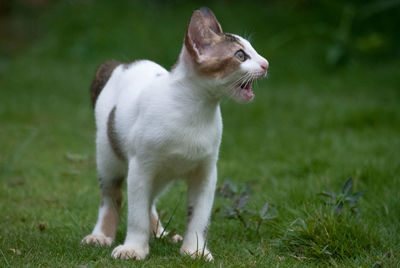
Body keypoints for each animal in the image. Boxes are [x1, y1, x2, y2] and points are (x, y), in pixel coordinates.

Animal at [81, 6, 268, 262]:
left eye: (253, 50)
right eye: (240, 55)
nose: (266, 64)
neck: (195, 111)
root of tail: (121, 64)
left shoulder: (206, 173)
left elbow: (198, 217)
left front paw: (195, 250)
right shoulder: (140, 167)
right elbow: (136, 214)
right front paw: (134, 248)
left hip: (160, 175)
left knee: (149, 201)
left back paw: (161, 233)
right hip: (109, 157)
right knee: (111, 197)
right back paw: (101, 235)